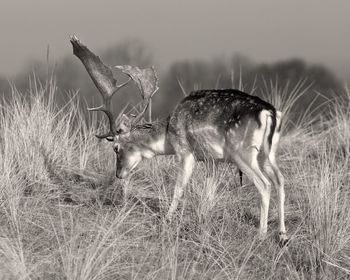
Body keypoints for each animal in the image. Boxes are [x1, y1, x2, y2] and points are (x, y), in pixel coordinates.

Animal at [70, 35, 288, 245]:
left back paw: (261, 234)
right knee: (280, 180)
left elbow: (179, 187)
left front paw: (167, 219)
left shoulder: (185, 151)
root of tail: (270, 113)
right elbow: (209, 189)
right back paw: (282, 235)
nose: (119, 174)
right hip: (268, 152)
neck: (168, 133)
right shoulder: (212, 160)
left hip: (242, 152)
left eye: (116, 148)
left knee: (264, 184)